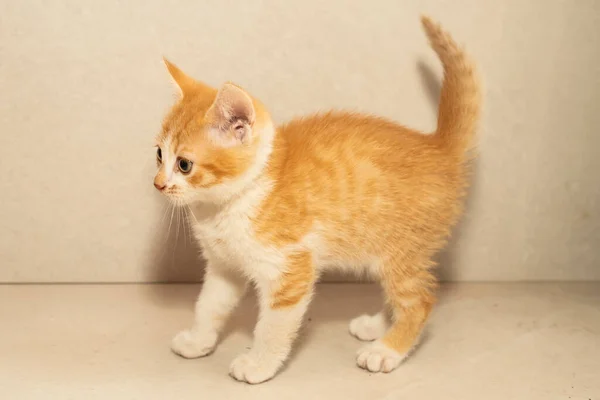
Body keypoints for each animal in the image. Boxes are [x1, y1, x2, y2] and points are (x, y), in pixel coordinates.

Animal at [155, 16, 482, 384]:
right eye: (159, 155)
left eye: (184, 165)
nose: (158, 184)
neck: (230, 203)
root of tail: (438, 147)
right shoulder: (224, 265)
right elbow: (209, 304)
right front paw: (197, 341)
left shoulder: (290, 267)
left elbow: (272, 327)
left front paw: (258, 364)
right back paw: (378, 327)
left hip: (402, 249)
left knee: (420, 300)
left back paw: (387, 349)